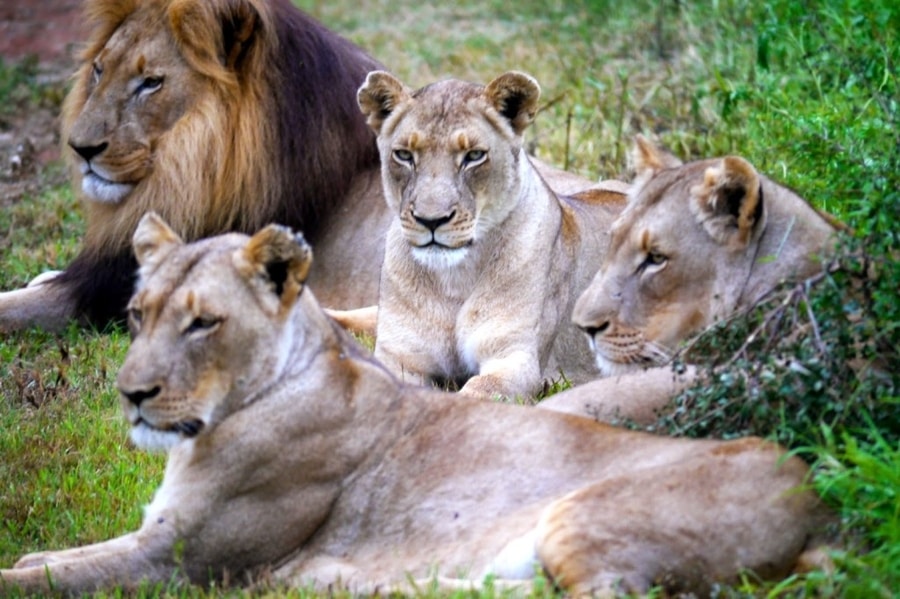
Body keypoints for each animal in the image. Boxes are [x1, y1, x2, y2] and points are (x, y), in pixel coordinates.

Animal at [0, 213, 828, 596]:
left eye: (204, 322)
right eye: (138, 315)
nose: (133, 394)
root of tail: (815, 492)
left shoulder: (178, 563)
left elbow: (36, 577)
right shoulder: (151, 538)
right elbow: (42, 558)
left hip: (581, 515)